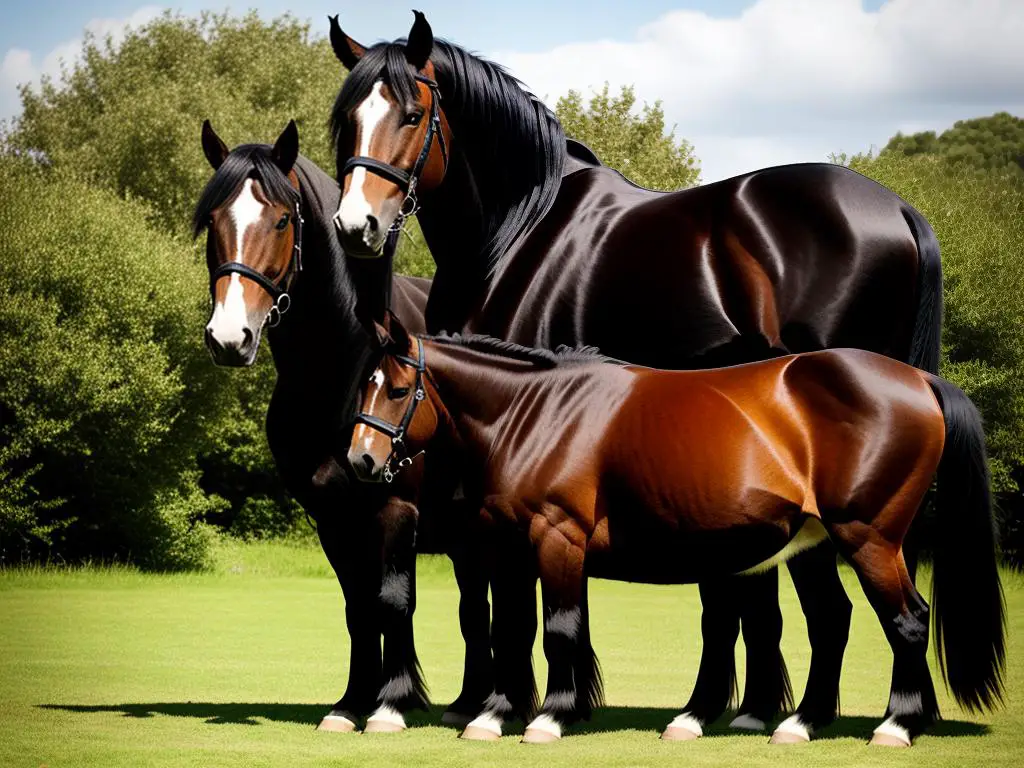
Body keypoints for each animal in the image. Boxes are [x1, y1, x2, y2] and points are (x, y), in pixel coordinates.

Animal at [195, 118, 483, 733]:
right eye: (212, 221)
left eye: (282, 219)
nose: (230, 337)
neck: (345, 365)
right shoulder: (331, 516)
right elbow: (359, 608)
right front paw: (353, 702)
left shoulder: (397, 511)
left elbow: (394, 601)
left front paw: (392, 702)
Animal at [325, 12, 942, 741]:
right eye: (346, 119)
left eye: (413, 113)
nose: (356, 226)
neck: (517, 232)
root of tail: (900, 212)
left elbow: (510, 597)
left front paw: (512, 703)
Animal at [350, 315, 999, 749]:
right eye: (363, 385)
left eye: (399, 389)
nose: (361, 460)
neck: (538, 414)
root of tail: (920, 380)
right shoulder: (509, 547)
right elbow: (513, 627)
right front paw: (494, 715)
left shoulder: (558, 536)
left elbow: (560, 629)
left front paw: (550, 718)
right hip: (816, 543)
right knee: (831, 622)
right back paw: (801, 723)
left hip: (868, 538)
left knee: (907, 621)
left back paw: (895, 726)